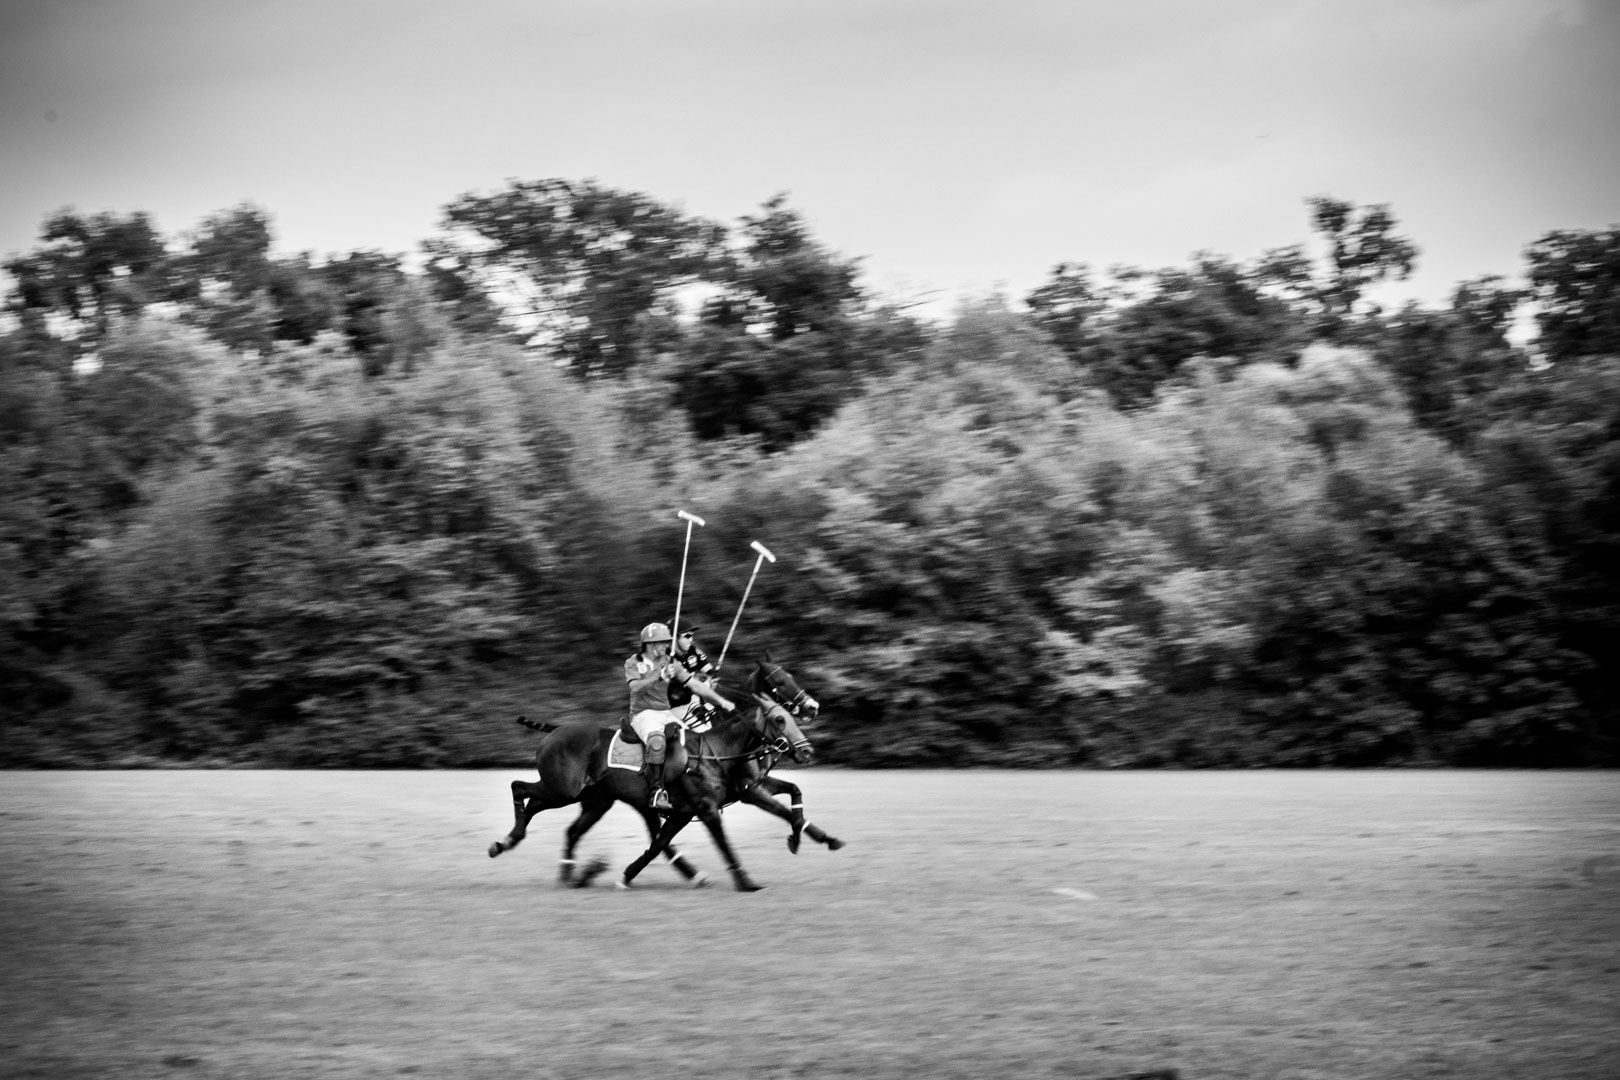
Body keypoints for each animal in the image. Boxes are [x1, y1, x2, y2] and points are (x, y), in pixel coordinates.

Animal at [482, 654, 835, 893]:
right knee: (520, 788)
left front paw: (817, 838)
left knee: (568, 826)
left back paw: (568, 872)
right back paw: (508, 842)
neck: (717, 748)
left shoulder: (707, 803)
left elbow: (793, 796)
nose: (806, 749)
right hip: (564, 789)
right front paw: (748, 880)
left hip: (595, 799)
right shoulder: (725, 801)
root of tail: (554, 730)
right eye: (780, 683)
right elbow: (728, 839)